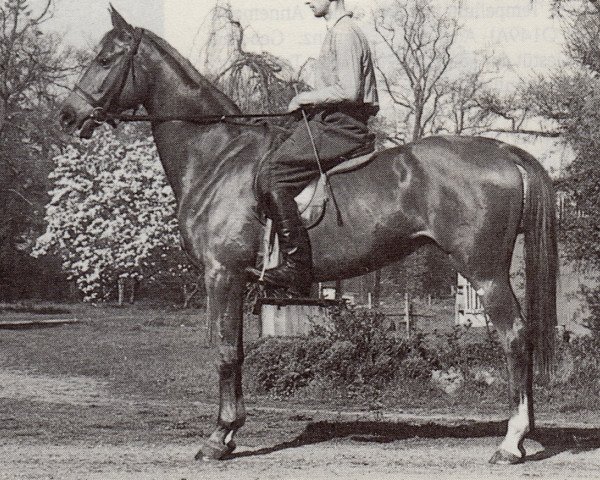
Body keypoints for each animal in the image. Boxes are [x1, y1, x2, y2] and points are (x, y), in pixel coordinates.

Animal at [59, 7, 556, 464]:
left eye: (105, 58)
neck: (218, 156)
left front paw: (218, 439)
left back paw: (511, 443)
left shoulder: (222, 274)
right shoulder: (237, 281)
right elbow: (239, 351)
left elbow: (225, 351)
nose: (67, 115)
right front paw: (232, 430)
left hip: (484, 271)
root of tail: (503, 151)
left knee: (515, 336)